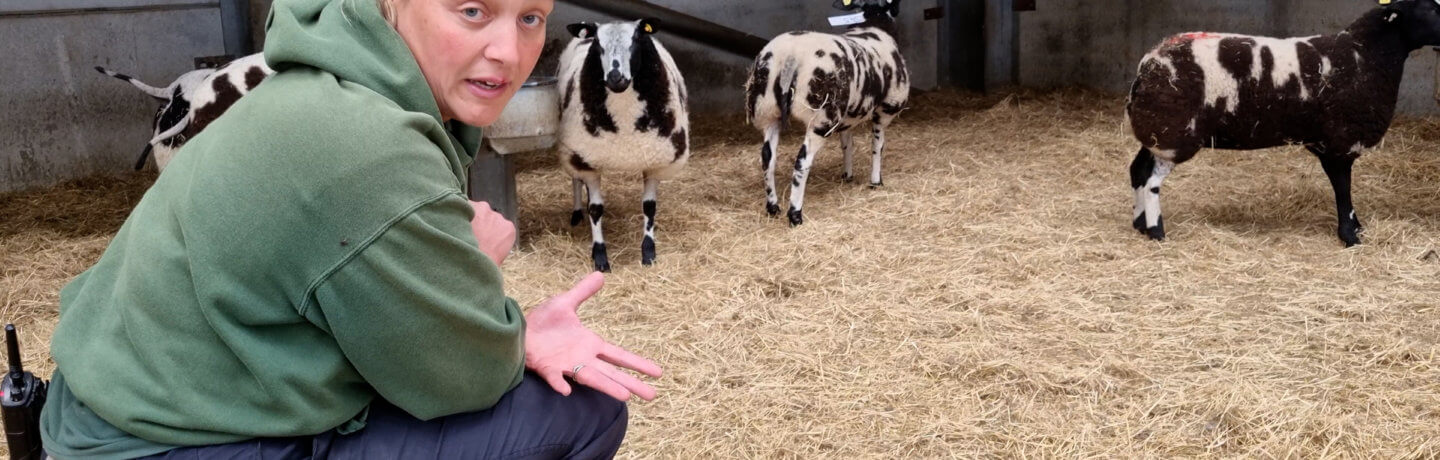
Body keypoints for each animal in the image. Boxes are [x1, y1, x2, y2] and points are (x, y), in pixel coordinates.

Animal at [552, 19, 688, 273]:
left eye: (636, 39)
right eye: (598, 43)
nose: (616, 78)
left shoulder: (653, 159)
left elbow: (649, 207)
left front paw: (648, 253)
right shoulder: (587, 157)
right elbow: (595, 209)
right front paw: (600, 257)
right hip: (576, 151)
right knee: (576, 181)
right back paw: (576, 213)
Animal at [748, 0, 904, 226]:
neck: (874, 23)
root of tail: (789, 57)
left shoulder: (847, 116)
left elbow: (847, 144)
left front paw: (847, 175)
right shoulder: (886, 108)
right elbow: (878, 146)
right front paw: (875, 181)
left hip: (768, 111)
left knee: (767, 157)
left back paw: (772, 206)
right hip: (820, 118)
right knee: (802, 161)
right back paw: (795, 214)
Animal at [1128, 0, 1440, 248]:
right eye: (1429, 8)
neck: (1365, 55)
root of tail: (1147, 65)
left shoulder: (1330, 143)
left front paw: (1356, 229)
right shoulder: (1339, 142)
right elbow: (1343, 190)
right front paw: (1350, 236)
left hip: (1155, 132)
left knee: (1138, 171)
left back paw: (1139, 224)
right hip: (1173, 132)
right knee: (1152, 181)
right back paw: (1156, 232)